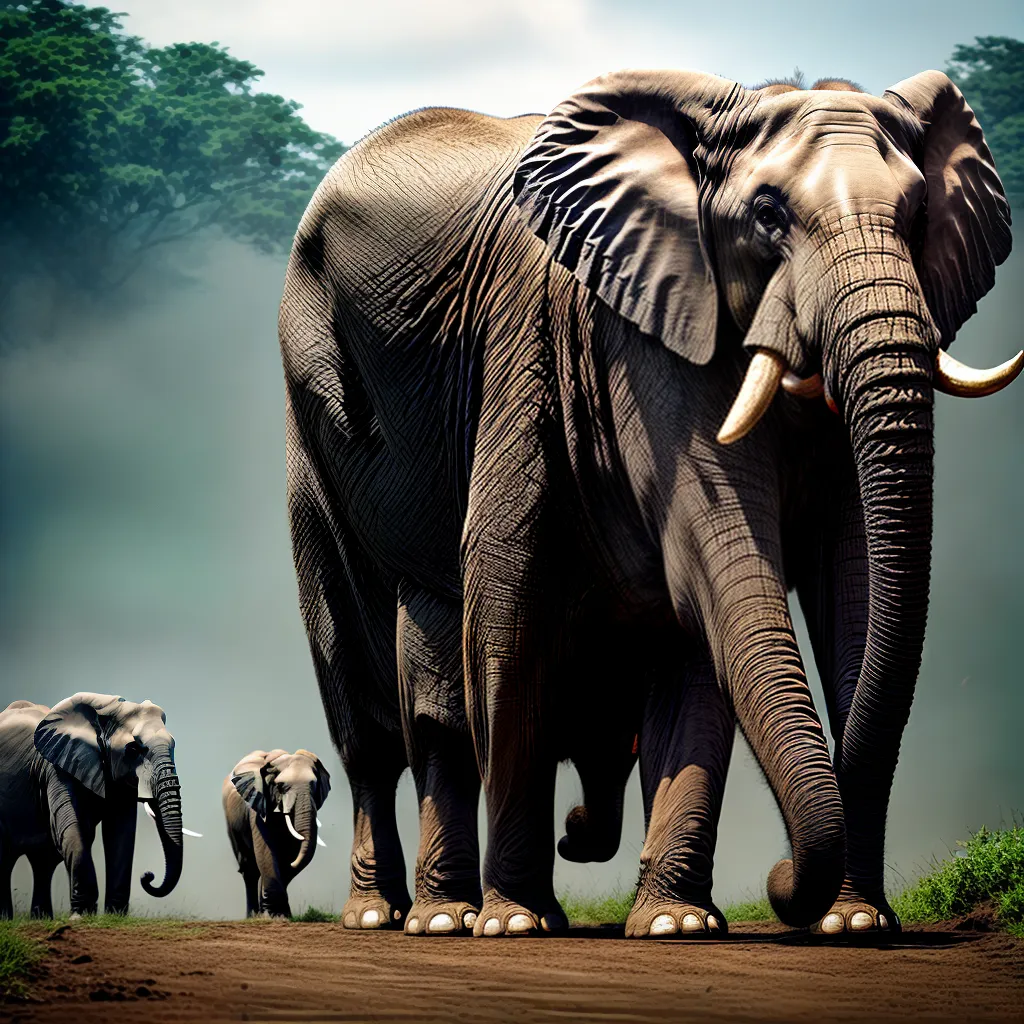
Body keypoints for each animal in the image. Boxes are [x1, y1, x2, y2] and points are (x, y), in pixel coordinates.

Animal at [0, 694, 185, 917]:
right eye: (133, 749)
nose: (148, 876)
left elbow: (120, 834)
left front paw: (115, 916)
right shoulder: (55, 766)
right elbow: (71, 827)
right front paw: (81, 916)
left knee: (40, 862)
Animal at [222, 748, 331, 918]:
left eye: (314, 784)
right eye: (280, 786)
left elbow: (289, 854)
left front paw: (281, 914)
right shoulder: (259, 804)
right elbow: (266, 850)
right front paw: (276, 917)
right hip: (232, 820)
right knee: (249, 867)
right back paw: (253, 916)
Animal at [278, 67, 1019, 938]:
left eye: (916, 214)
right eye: (768, 216)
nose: (780, 882)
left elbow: (756, 610)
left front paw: (720, 925)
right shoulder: (558, 345)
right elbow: (511, 612)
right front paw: (515, 924)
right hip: (310, 420)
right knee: (375, 714)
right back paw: (406, 917)